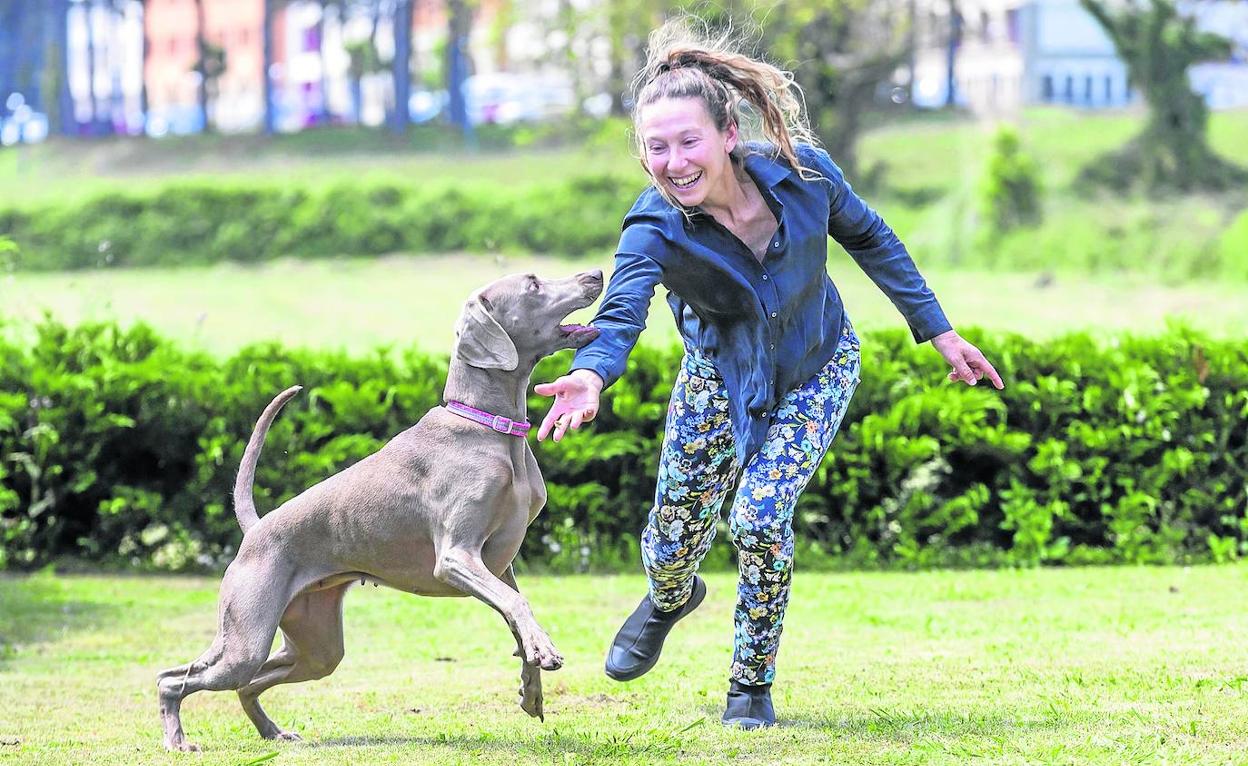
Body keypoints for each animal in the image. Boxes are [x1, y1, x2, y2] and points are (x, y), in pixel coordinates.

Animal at [156, 268, 604, 748]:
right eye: (533, 283)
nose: (596, 273)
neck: (488, 427)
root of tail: (256, 528)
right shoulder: (456, 557)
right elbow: (517, 605)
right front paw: (545, 652)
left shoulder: (499, 566)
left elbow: (515, 612)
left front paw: (531, 688)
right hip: (245, 637)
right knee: (176, 678)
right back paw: (178, 740)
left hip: (316, 643)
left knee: (252, 681)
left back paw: (272, 732)